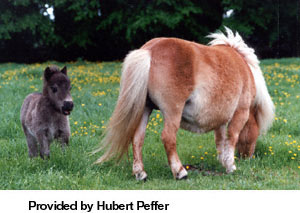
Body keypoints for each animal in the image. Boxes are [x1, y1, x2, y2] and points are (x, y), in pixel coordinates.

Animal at [94, 27, 274, 180]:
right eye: (257, 131)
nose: (248, 157)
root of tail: (149, 50)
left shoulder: (221, 118)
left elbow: (220, 140)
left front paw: (222, 161)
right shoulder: (240, 112)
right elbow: (232, 138)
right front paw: (230, 166)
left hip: (145, 108)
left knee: (138, 137)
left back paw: (140, 174)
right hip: (173, 111)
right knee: (168, 137)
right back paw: (180, 172)